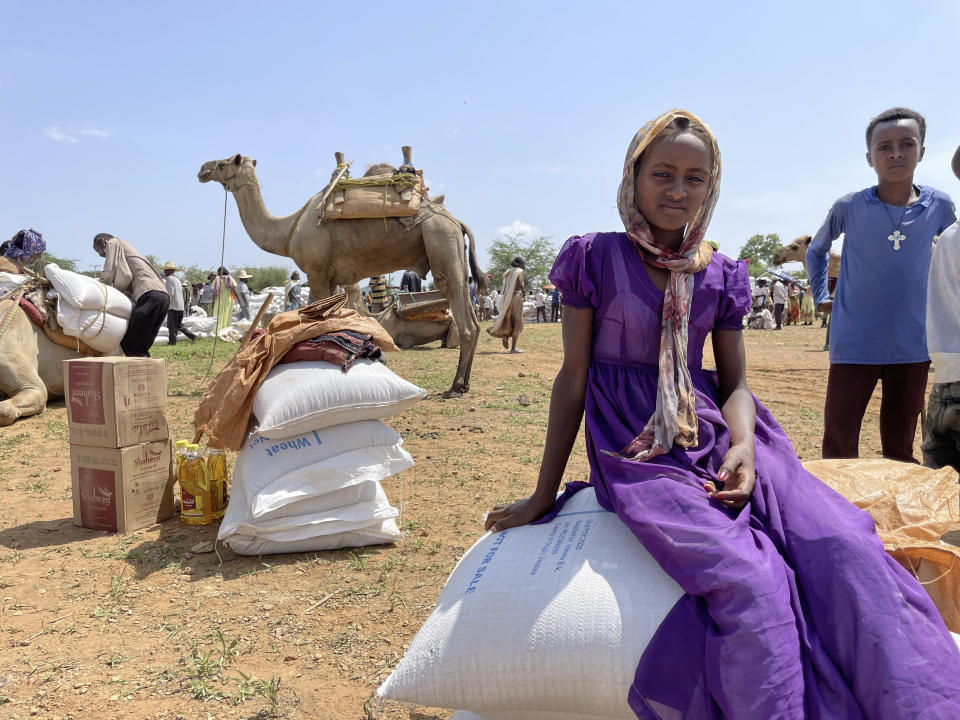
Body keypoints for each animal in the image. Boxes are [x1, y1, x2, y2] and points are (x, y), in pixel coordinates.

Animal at [196, 153, 484, 396]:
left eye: (225, 162)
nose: (202, 169)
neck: (288, 231)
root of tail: (455, 221)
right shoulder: (333, 279)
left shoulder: (316, 273)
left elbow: (319, 324)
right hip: (452, 250)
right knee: (473, 319)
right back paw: (465, 384)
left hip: (440, 239)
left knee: (463, 316)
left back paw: (454, 387)